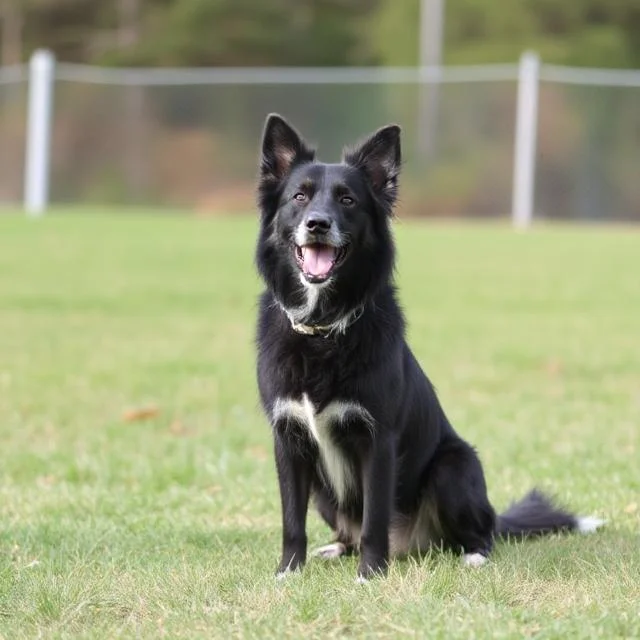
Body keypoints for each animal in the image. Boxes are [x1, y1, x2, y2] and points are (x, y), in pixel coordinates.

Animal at [254, 114, 600, 580]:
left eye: (347, 199)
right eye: (299, 196)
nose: (318, 224)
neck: (325, 330)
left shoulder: (379, 440)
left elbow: (374, 519)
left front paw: (370, 575)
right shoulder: (288, 441)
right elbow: (292, 519)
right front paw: (289, 572)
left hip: (453, 467)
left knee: (481, 533)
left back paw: (473, 555)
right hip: (325, 492)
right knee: (346, 530)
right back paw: (336, 548)